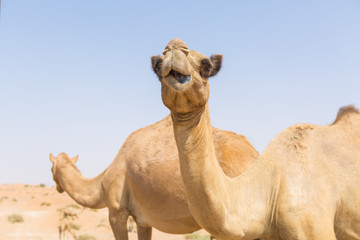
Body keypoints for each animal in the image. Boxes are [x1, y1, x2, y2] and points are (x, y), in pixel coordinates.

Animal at [50, 114, 258, 240]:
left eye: (51, 168)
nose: (57, 187)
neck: (100, 184)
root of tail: (254, 155)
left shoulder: (117, 211)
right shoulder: (143, 220)